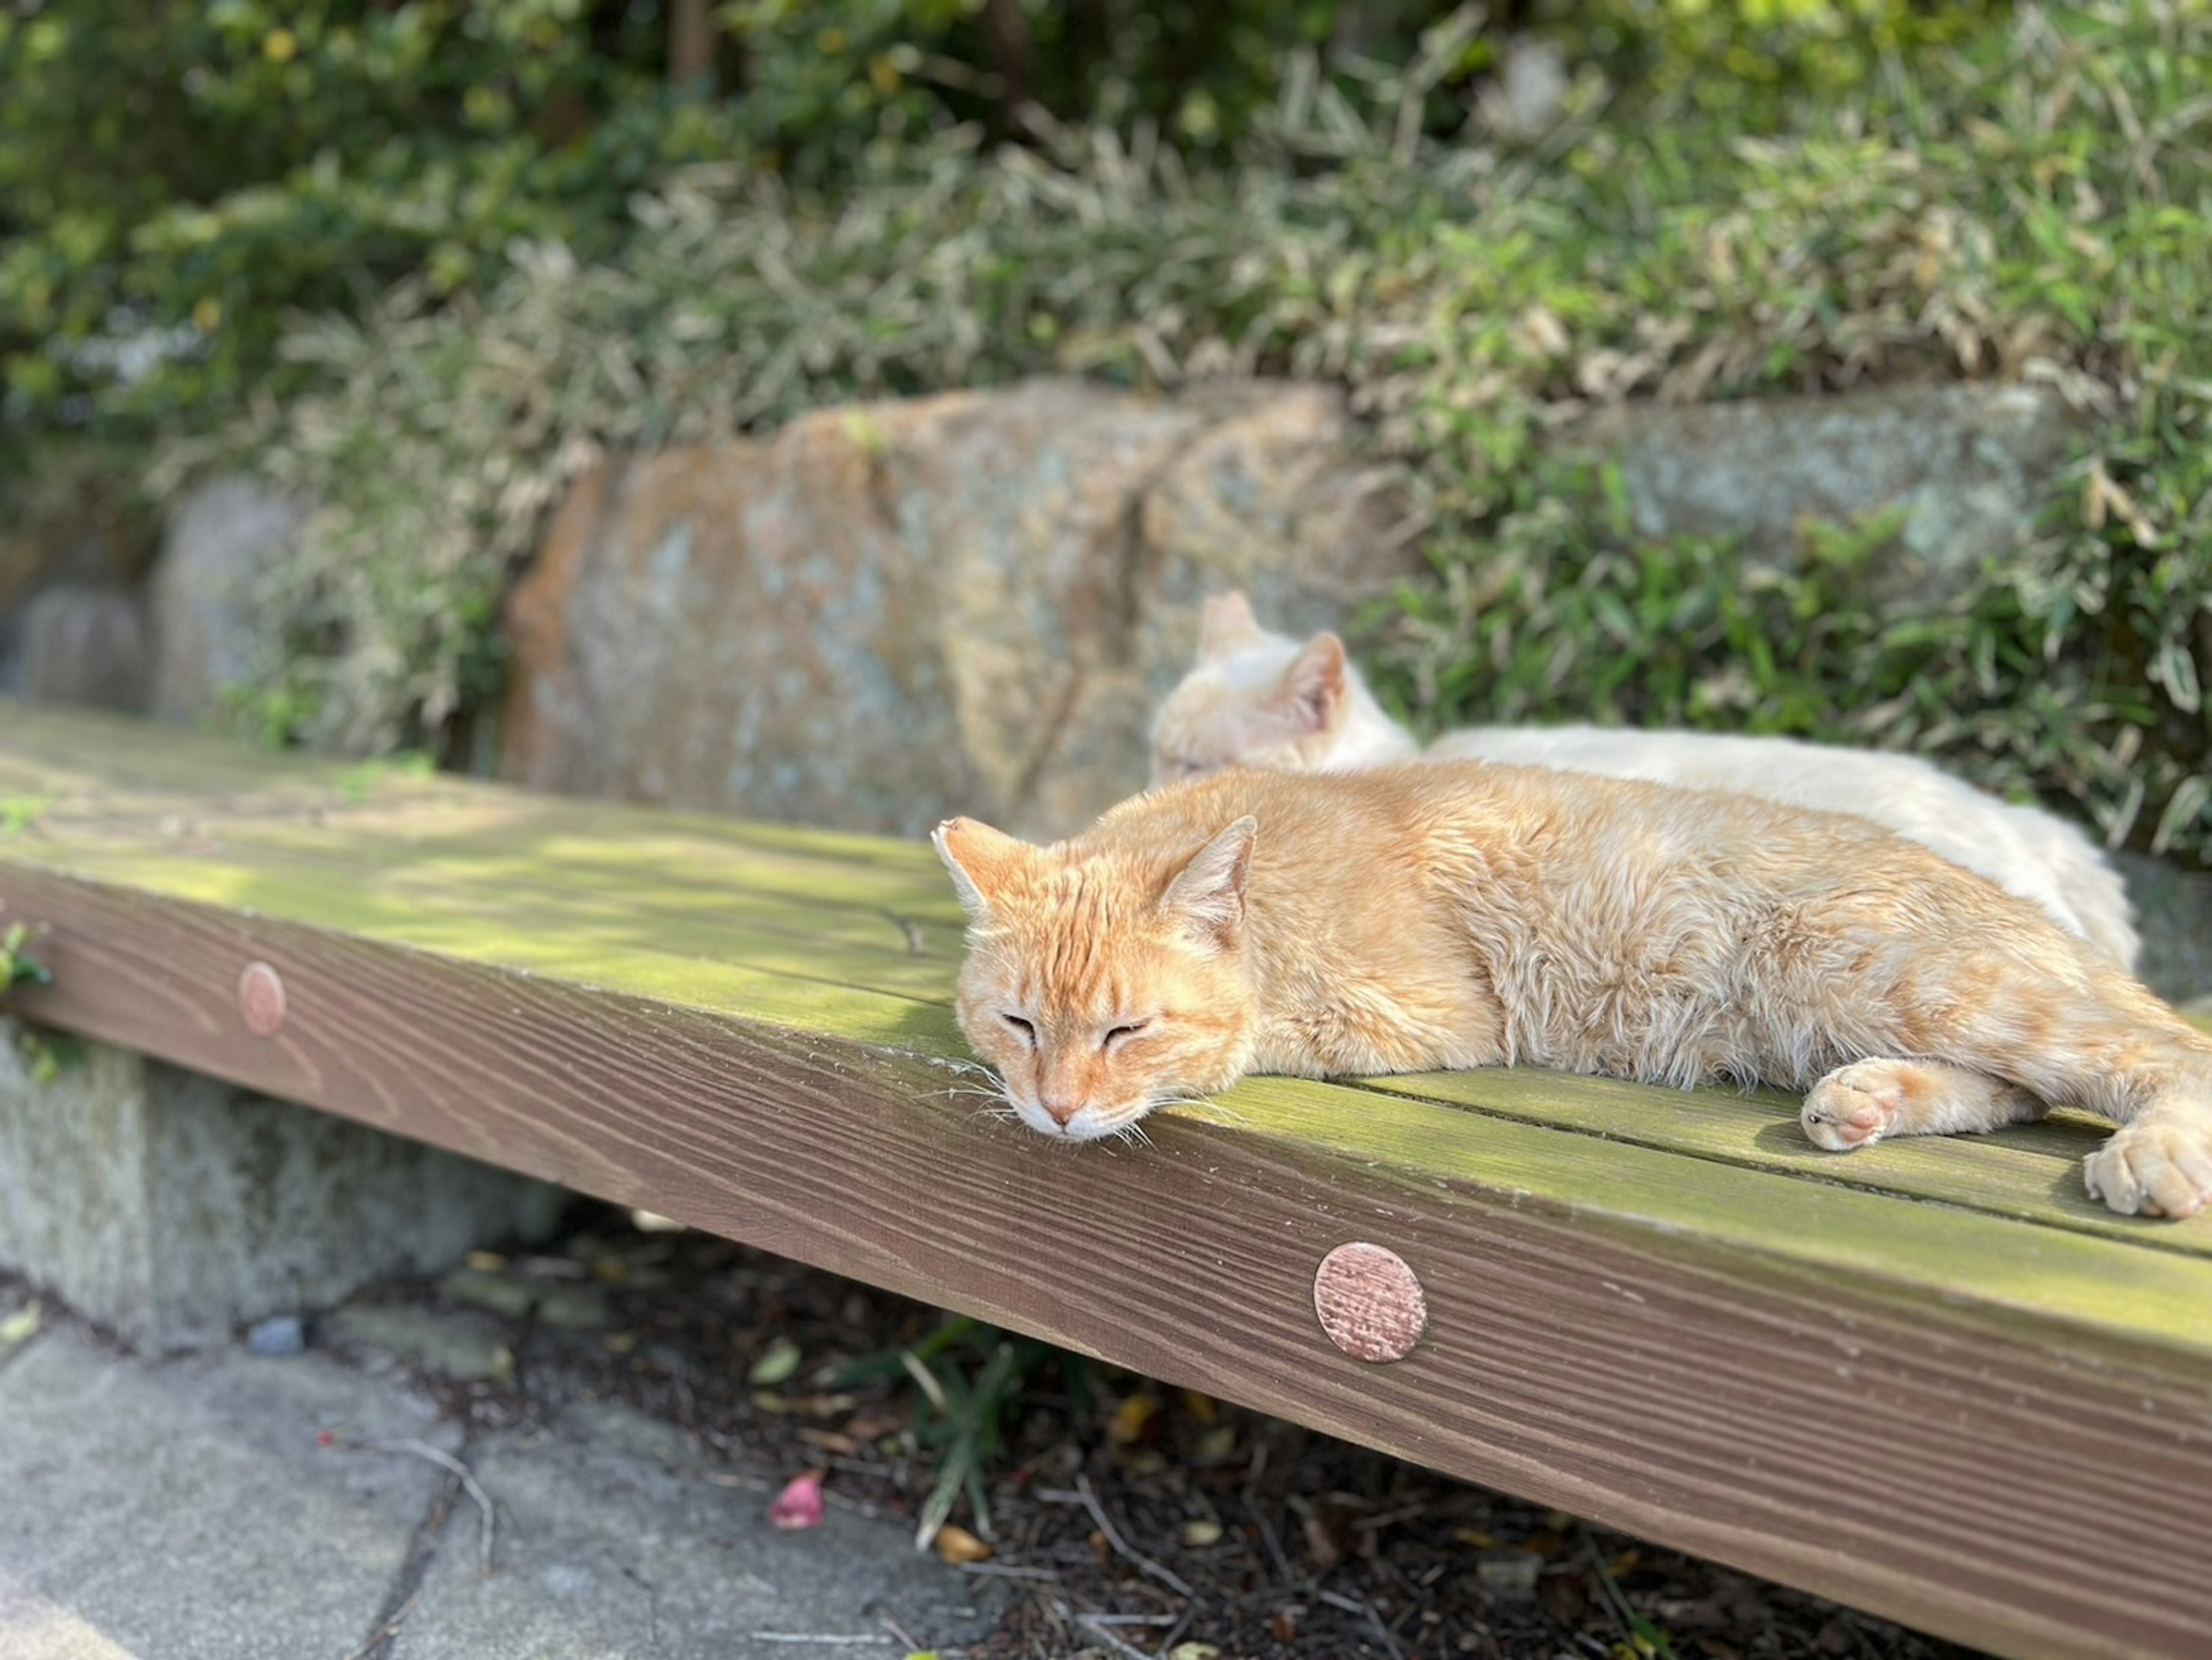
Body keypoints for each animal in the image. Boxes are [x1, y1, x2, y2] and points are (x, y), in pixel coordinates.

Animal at [933, 766, 2212, 1222]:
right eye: (1019, 1023)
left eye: (1126, 1029)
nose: (1055, 1109)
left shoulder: (1434, 1013)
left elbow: (1252, 1038)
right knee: (2018, 1094)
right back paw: (1867, 1102)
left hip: (1871, 961)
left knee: (2155, 1053)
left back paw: (2152, 1159)